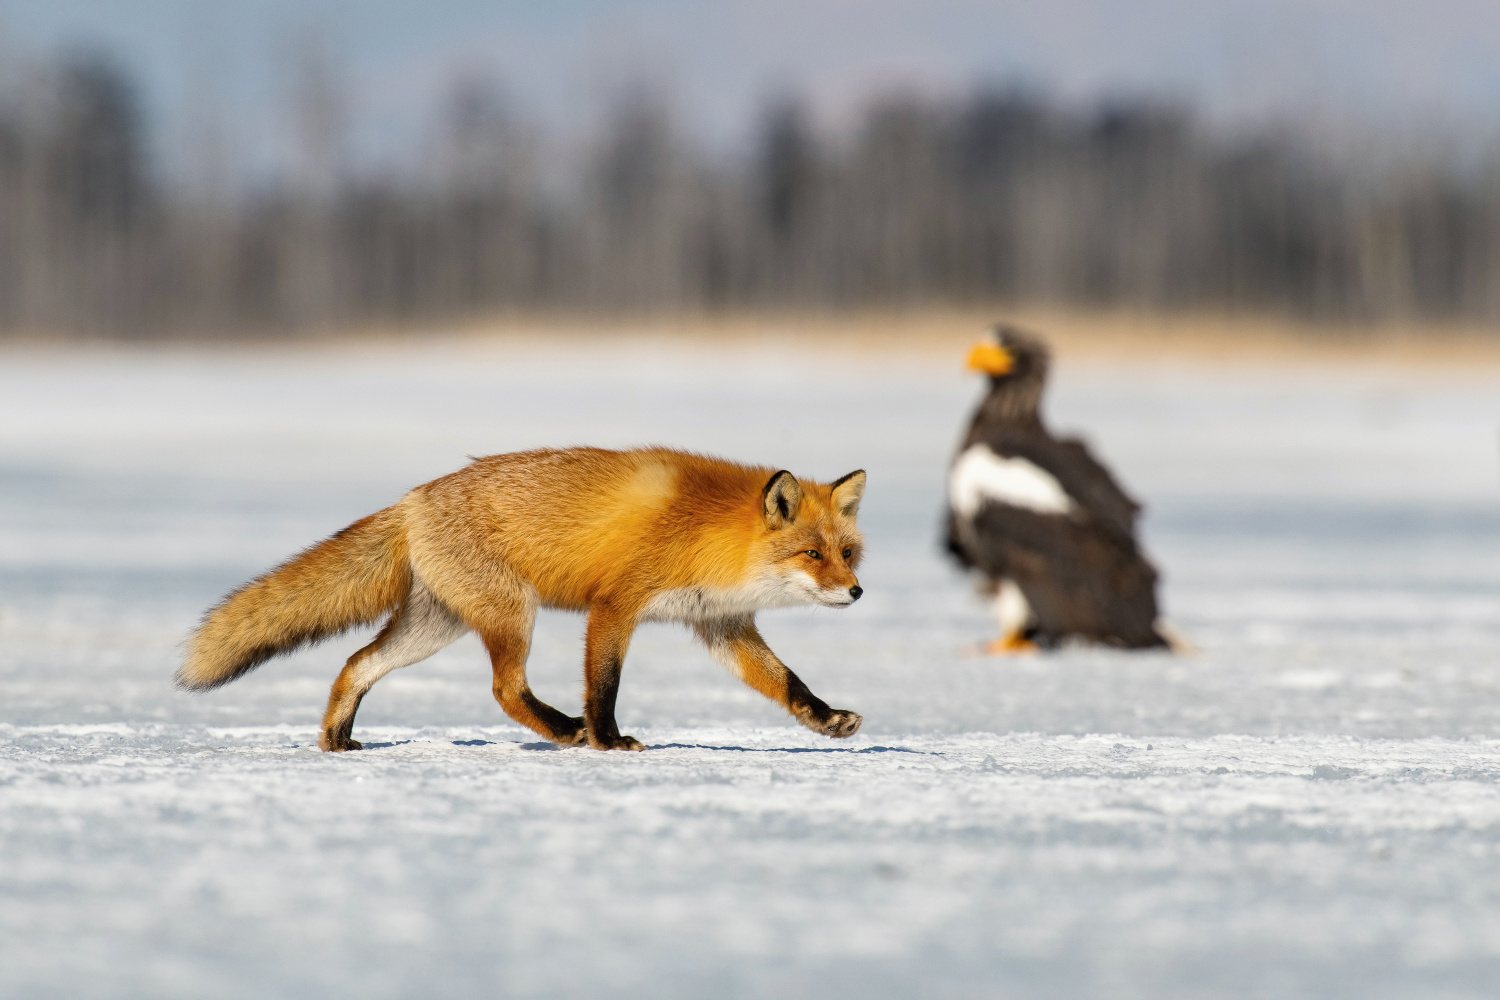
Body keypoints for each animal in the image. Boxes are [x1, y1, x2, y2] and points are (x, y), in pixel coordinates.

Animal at [181, 446, 870, 749]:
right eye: (812, 555)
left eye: (847, 553)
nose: (857, 591)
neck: (712, 534)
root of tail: (412, 500)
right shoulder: (615, 606)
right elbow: (603, 686)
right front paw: (607, 740)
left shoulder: (721, 624)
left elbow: (785, 681)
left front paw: (824, 719)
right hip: (512, 614)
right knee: (505, 689)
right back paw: (565, 731)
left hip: (436, 627)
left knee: (356, 664)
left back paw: (337, 739)